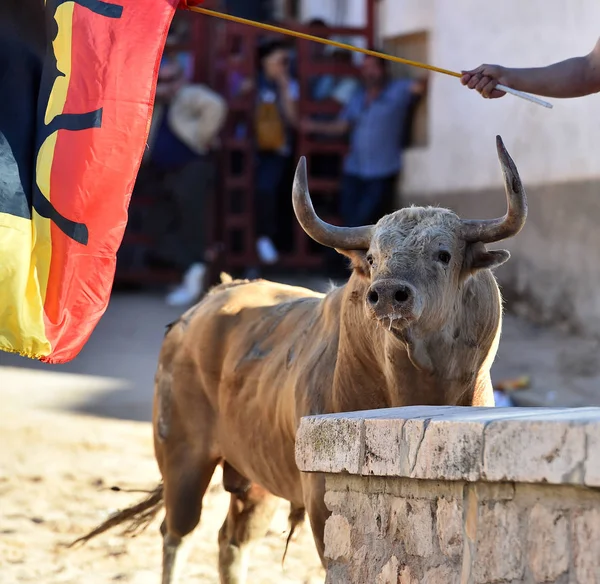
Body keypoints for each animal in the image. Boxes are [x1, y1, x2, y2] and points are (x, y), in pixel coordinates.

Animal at [72, 135, 528, 580]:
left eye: (443, 254)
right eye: (373, 257)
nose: (387, 293)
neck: (415, 382)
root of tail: (201, 307)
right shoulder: (320, 497)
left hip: (253, 477)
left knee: (231, 540)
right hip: (182, 459)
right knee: (177, 533)